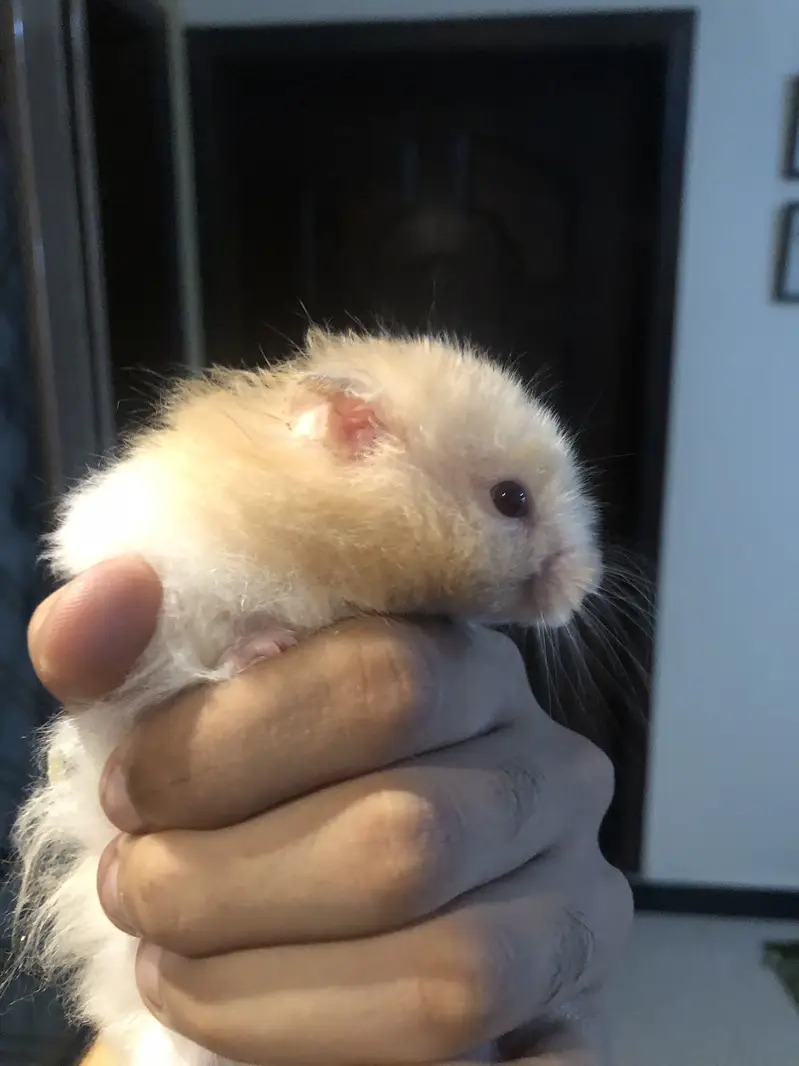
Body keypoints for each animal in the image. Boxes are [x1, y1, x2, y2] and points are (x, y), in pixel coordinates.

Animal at [11, 329, 601, 1066]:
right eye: (509, 499)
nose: (585, 583)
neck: (319, 547)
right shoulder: (160, 602)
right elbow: (201, 650)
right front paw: (268, 648)